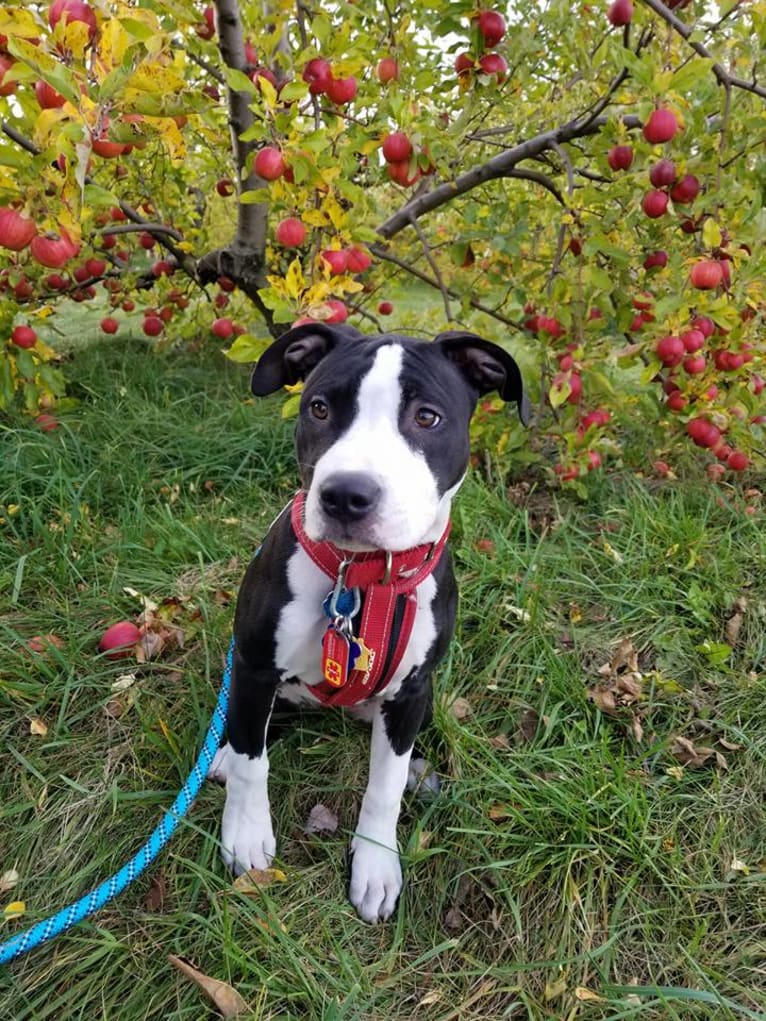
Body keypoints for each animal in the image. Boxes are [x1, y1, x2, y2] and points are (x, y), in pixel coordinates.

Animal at [213, 322, 531, 922]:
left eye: (426, 417)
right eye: (318, 408)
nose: (345, 495)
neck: (362, 578)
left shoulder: (411, 689)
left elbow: (385, 786)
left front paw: (377, 866)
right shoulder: (255, 666)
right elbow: (250, 761)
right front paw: (246, 833)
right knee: (251, 734)